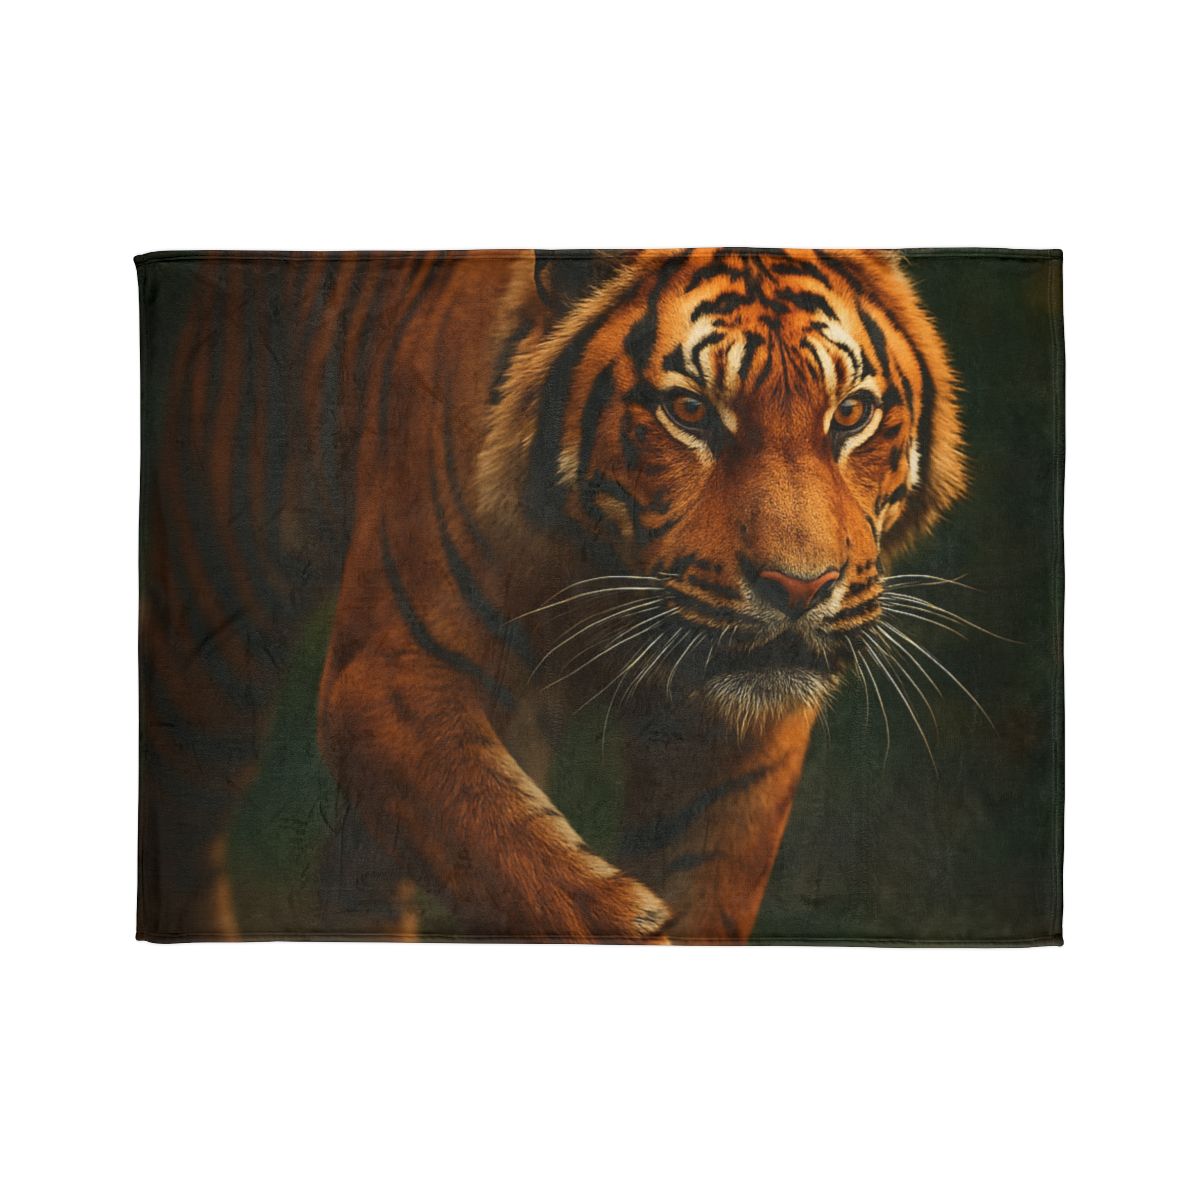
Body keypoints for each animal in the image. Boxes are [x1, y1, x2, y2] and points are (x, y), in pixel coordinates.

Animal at [136, 247, 965, 943]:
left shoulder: (737, 743)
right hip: (220, 608)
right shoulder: (387, 677)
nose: (800, 588)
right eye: (690, 412)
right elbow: (531, 871)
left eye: (850, 414)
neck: (600, 575)